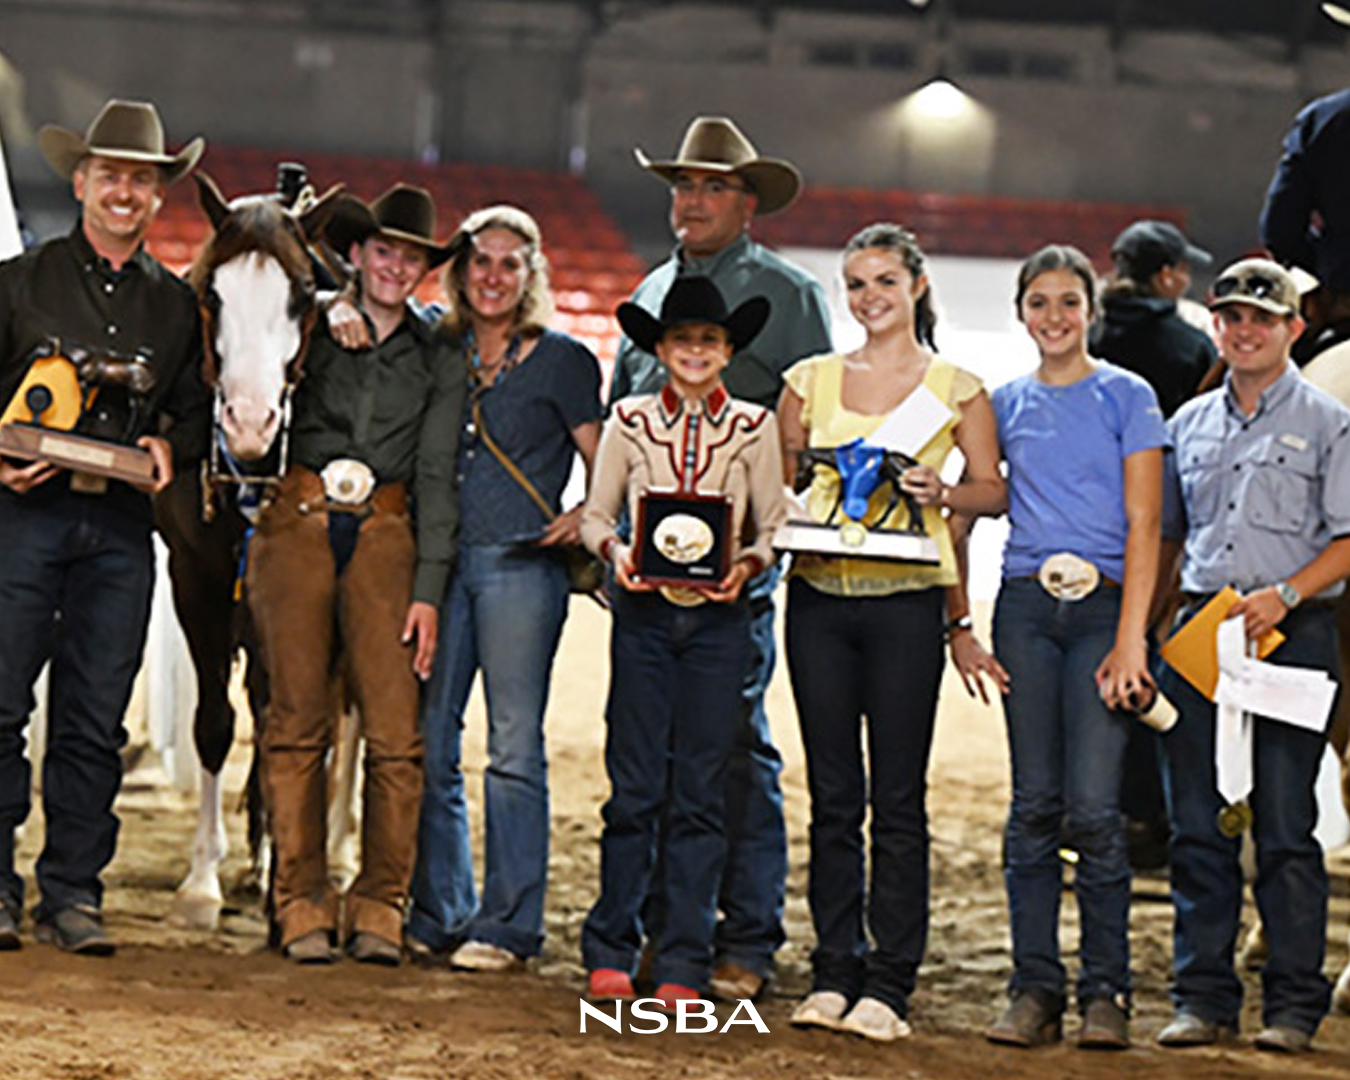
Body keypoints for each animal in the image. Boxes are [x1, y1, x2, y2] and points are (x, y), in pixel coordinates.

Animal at [153, 172, 345, 929]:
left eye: (304, 292)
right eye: (212, 293)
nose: (251, 421)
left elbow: (287, 718)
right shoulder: (195, 581)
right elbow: (214, 724)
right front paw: (202, 879)